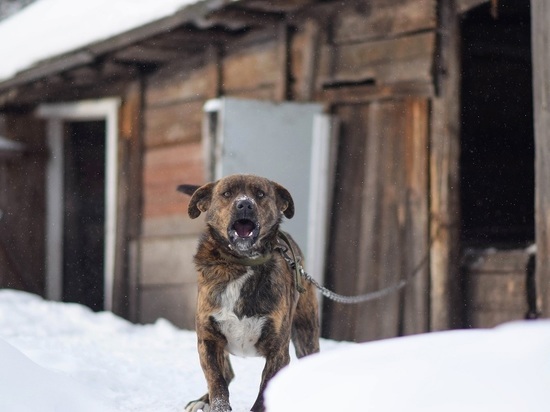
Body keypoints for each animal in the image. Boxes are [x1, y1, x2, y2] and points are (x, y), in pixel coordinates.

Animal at [179, 175, 322, 412]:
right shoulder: (208, 339)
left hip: (306, 334)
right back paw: (202, 400)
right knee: (227, 373)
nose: (245, 204)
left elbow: (264, 393)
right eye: (227, 193)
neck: (242, 264)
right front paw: (217, 404)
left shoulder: (278, 351)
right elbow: (216, 380)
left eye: (260, 194)